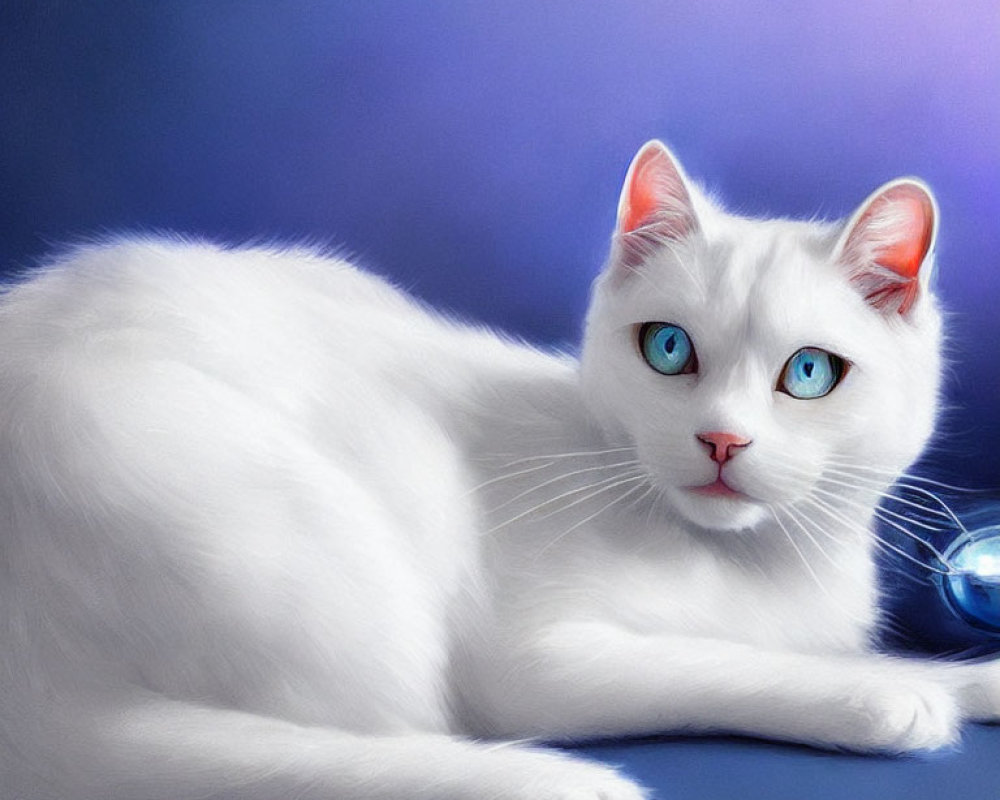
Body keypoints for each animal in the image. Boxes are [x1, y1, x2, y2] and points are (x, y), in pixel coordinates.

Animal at [1, 141, 1000, 796]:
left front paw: (967, 679)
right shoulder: (534, 663)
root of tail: (31, 694)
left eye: (810, 374)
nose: (722, 440)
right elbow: (726, 661)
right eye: (669, 349)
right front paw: (887, 694)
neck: (755, 565)